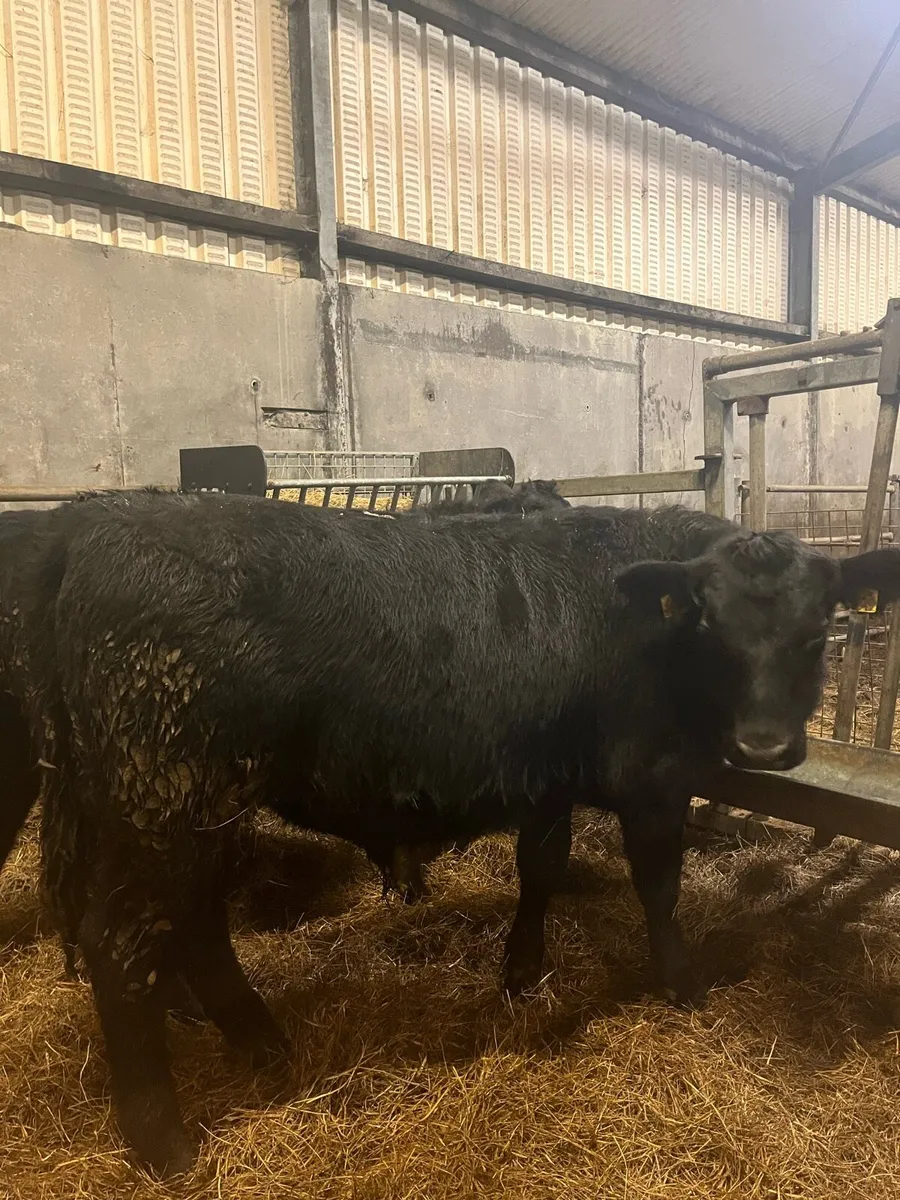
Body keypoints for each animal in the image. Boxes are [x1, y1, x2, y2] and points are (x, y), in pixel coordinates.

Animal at [20, 488, 900, 1176]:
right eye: (712, 626)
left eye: (817, 632)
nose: (765, 748)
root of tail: (99, 524)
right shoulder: (652, 780)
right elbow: (660, 887)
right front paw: (682, 985)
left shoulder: (545, 773)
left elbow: (540, 868)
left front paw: (521, 971)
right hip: (162, 799)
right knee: (124, 946)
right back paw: (164, 1143)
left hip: (201, 806)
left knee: (198, 922)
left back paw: (263, 1042)